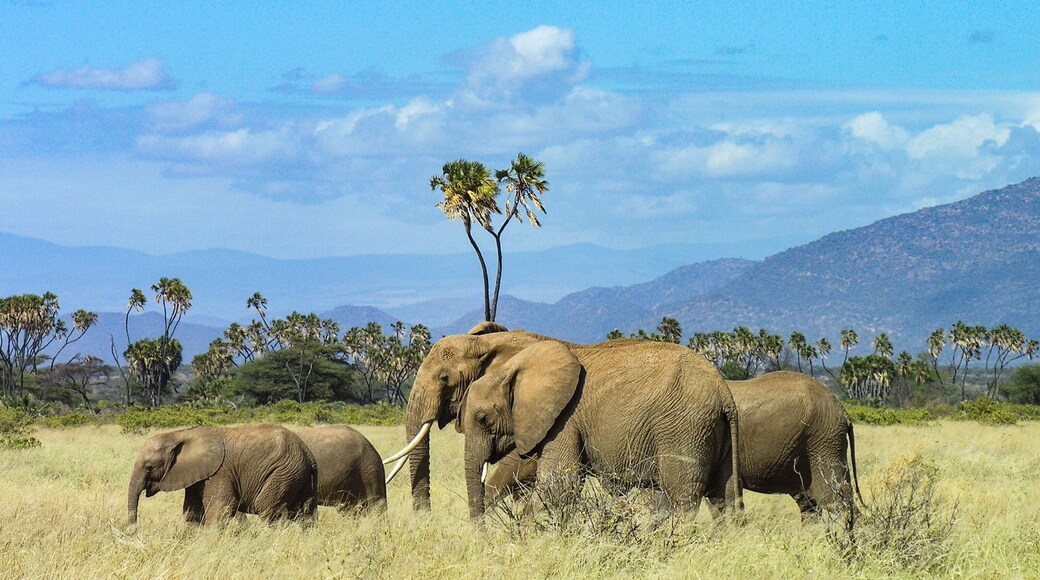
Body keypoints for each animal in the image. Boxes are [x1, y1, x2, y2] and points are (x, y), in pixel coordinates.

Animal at [128, 424, 318, 525]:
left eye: (149, 467)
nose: (134, 530)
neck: (179, 434)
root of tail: (307, 452)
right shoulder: (197, 476)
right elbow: (192, 512)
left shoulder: (218, 473)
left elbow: (221, 507)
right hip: (299, 476)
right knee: (305, 514)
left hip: (283, 472)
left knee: (266, 508)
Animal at [385, 324, 740, 517]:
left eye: (444, 378)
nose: (425, 520)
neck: (486, 343)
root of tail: (725, 394)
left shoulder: (562, 418)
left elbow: (548, 477)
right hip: (711, 433)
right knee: (724, 498)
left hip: (684, 427)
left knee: (682, 495)